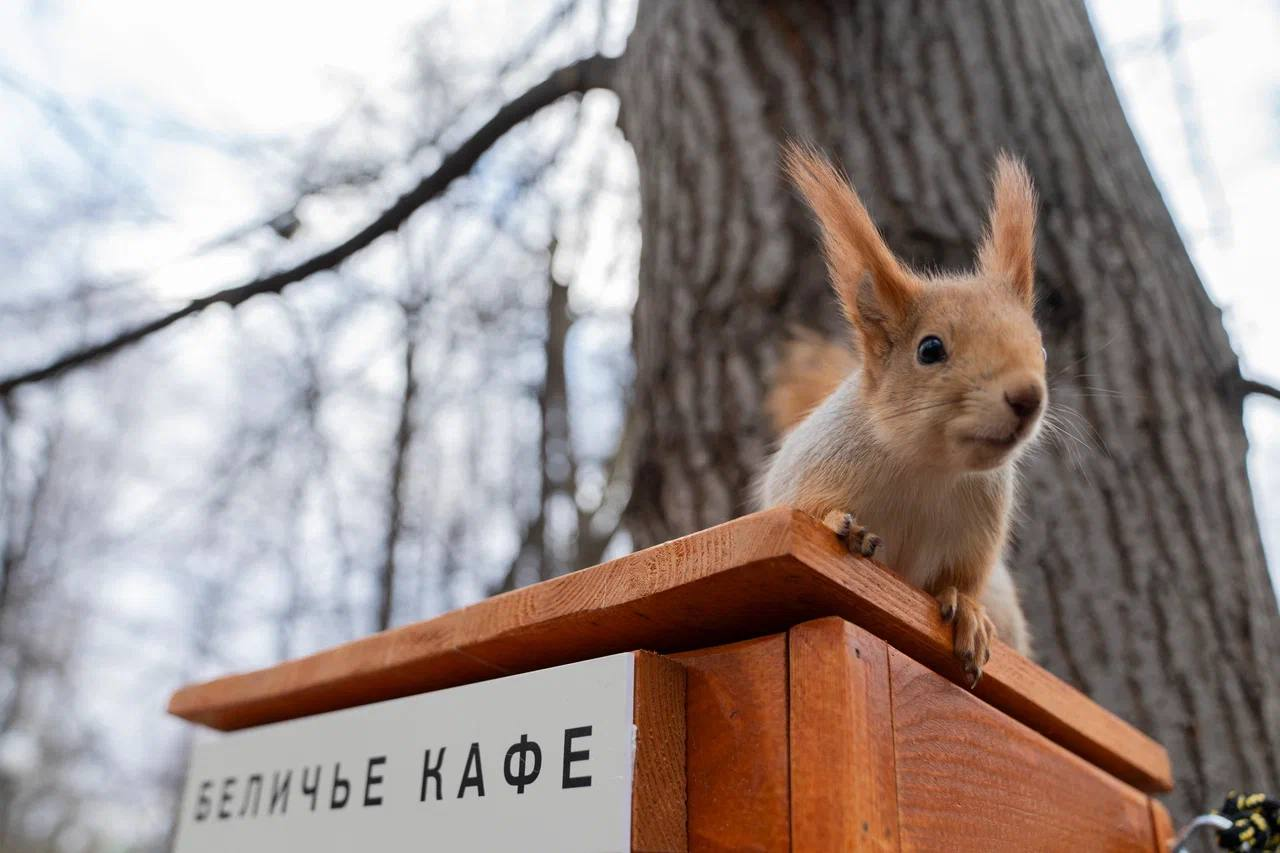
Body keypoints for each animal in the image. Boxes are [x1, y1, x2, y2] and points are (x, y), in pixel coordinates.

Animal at [752, 142, 1044, 681]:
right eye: (930, 349)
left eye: (1040, 345)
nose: (1027, 396)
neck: (926, 469)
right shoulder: (808, 474)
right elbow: (807, 511)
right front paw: (842, 526)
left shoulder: (977, 535)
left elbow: (961, 581)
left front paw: (968, 612)